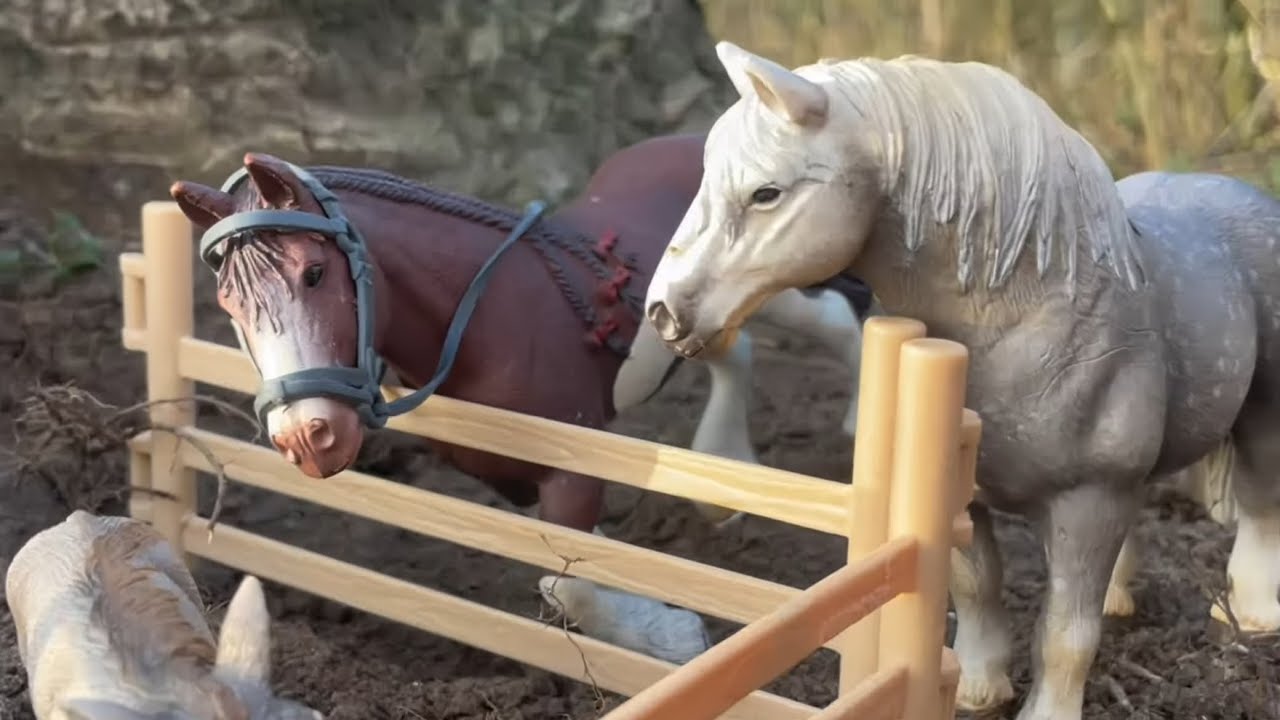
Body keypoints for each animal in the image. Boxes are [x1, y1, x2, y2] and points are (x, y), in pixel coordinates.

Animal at [166, 133, 876, 664]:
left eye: (314, 272)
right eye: (228, 304)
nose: (307, 438)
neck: (486, 318)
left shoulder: (576, 468)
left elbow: (567, 585)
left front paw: (673, 638)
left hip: (776, 287)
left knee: (836, 324)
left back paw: (852, 422)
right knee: (738, 354)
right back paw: (723, 482)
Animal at [642, 41, 1280, 720]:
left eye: (767, 193)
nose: (662, 312)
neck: (1031, 317)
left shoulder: (1090, 498)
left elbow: (1065, 633)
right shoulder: (969, 497)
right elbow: (976, 589)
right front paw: (978, 689)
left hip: (1259, 418)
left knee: (1260, 504)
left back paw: (1249, 616)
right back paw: (1119, 598)